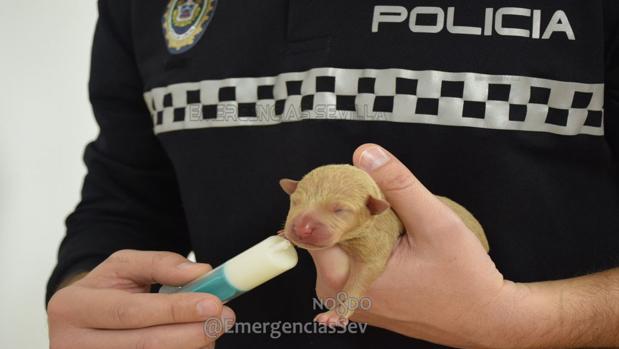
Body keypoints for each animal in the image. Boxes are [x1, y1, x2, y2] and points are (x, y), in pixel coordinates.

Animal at [280, 164, 490, 324]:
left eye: (339, 210)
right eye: (295, 201)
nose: (302, 228)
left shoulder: (376, 243)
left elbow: (359, 280)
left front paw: (336, 313)